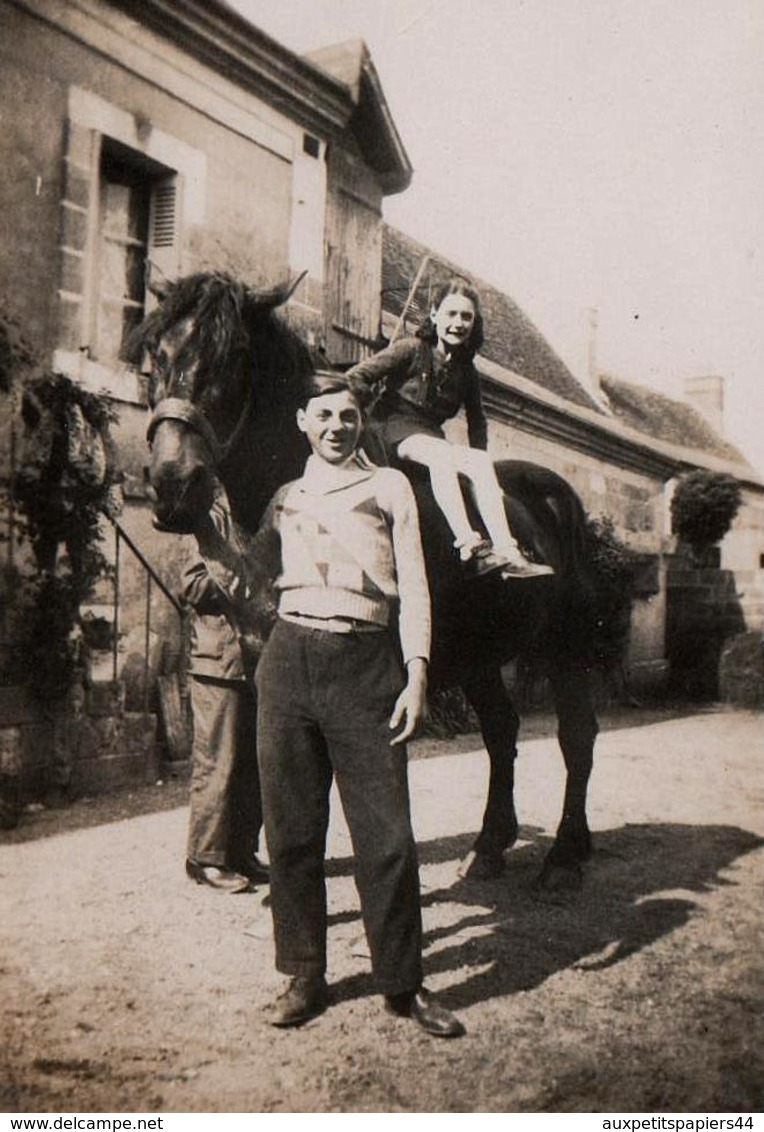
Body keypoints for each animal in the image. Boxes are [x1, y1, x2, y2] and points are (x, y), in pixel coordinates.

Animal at [134, 273, 602, 882]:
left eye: (234, 354)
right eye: (155, 353)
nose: (173, 486)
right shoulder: (267, 668)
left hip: (564, 645)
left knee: (577, 735)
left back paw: (566, 852)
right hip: (481, 653)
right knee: (502, 732)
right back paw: (488, 847)